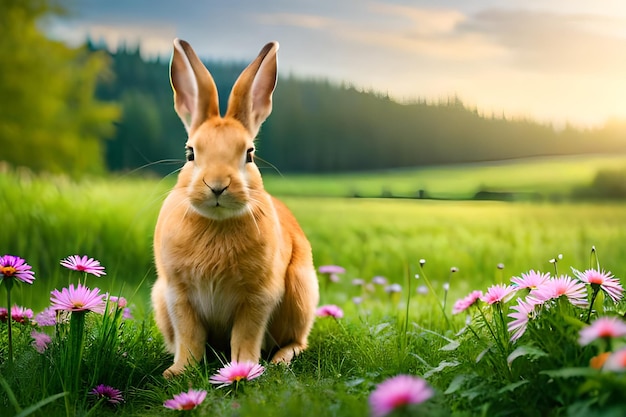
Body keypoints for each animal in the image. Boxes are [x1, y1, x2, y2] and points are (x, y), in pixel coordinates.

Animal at [150, 39, 316, 376]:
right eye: (190, 153)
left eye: (249, 154)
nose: (217, 185)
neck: (216, 221)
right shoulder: (177, 295)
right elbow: (189, 335)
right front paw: (179, 371)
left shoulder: (258, 297)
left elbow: (245, 335)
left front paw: (244, 369)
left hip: (300, 294)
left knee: (297, 340)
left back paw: (281, 359)